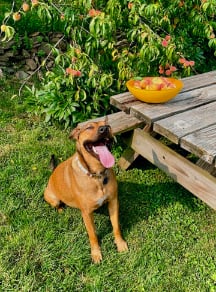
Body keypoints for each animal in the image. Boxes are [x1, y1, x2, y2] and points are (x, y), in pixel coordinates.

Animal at [44, 120, 128, 264]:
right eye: (89, 127)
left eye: (108, 125)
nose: (104, 129)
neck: (97, 176)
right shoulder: (87, 213)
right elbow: (92, 235)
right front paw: (96, 253)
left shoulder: (113, 202)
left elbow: (116, 226)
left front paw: (120, 243)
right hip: (53, 198)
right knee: (57, 204)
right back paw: (61, 210)